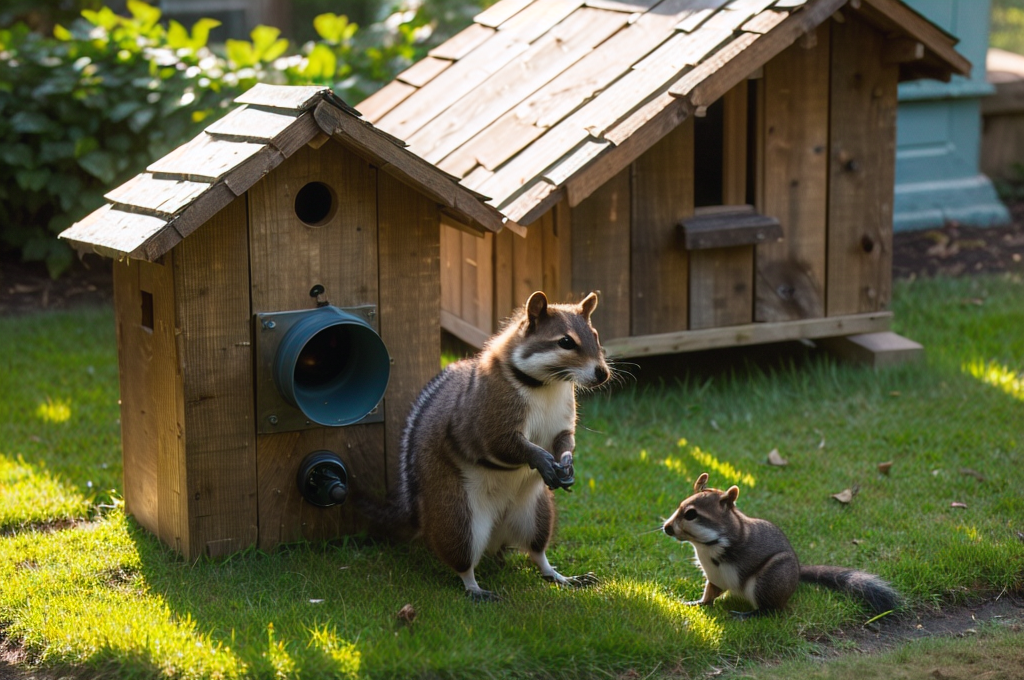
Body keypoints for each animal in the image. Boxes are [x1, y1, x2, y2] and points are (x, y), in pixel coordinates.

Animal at [364, 288, 610, 598]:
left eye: (596, 335)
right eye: (565, 342)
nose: (602, 373)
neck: (547, 385)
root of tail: (496, 534)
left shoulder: (561, 421)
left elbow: (564, 440)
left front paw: (567, 462)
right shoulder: (489, 414)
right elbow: (502, 444)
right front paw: (540, 458)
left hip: (536, 515)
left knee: (537, 552)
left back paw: (558, 575)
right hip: (459, 518)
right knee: (462, 557)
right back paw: (474, 587)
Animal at [663, 473, 897, 614]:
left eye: (691, 514)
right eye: (680, 504)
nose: (667, 528)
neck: (704, 545)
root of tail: (797, 572)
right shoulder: (714, 576)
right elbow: (709, 594)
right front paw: (696, 602)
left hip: (769, 580)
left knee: (770, 610)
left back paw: (748, 615)